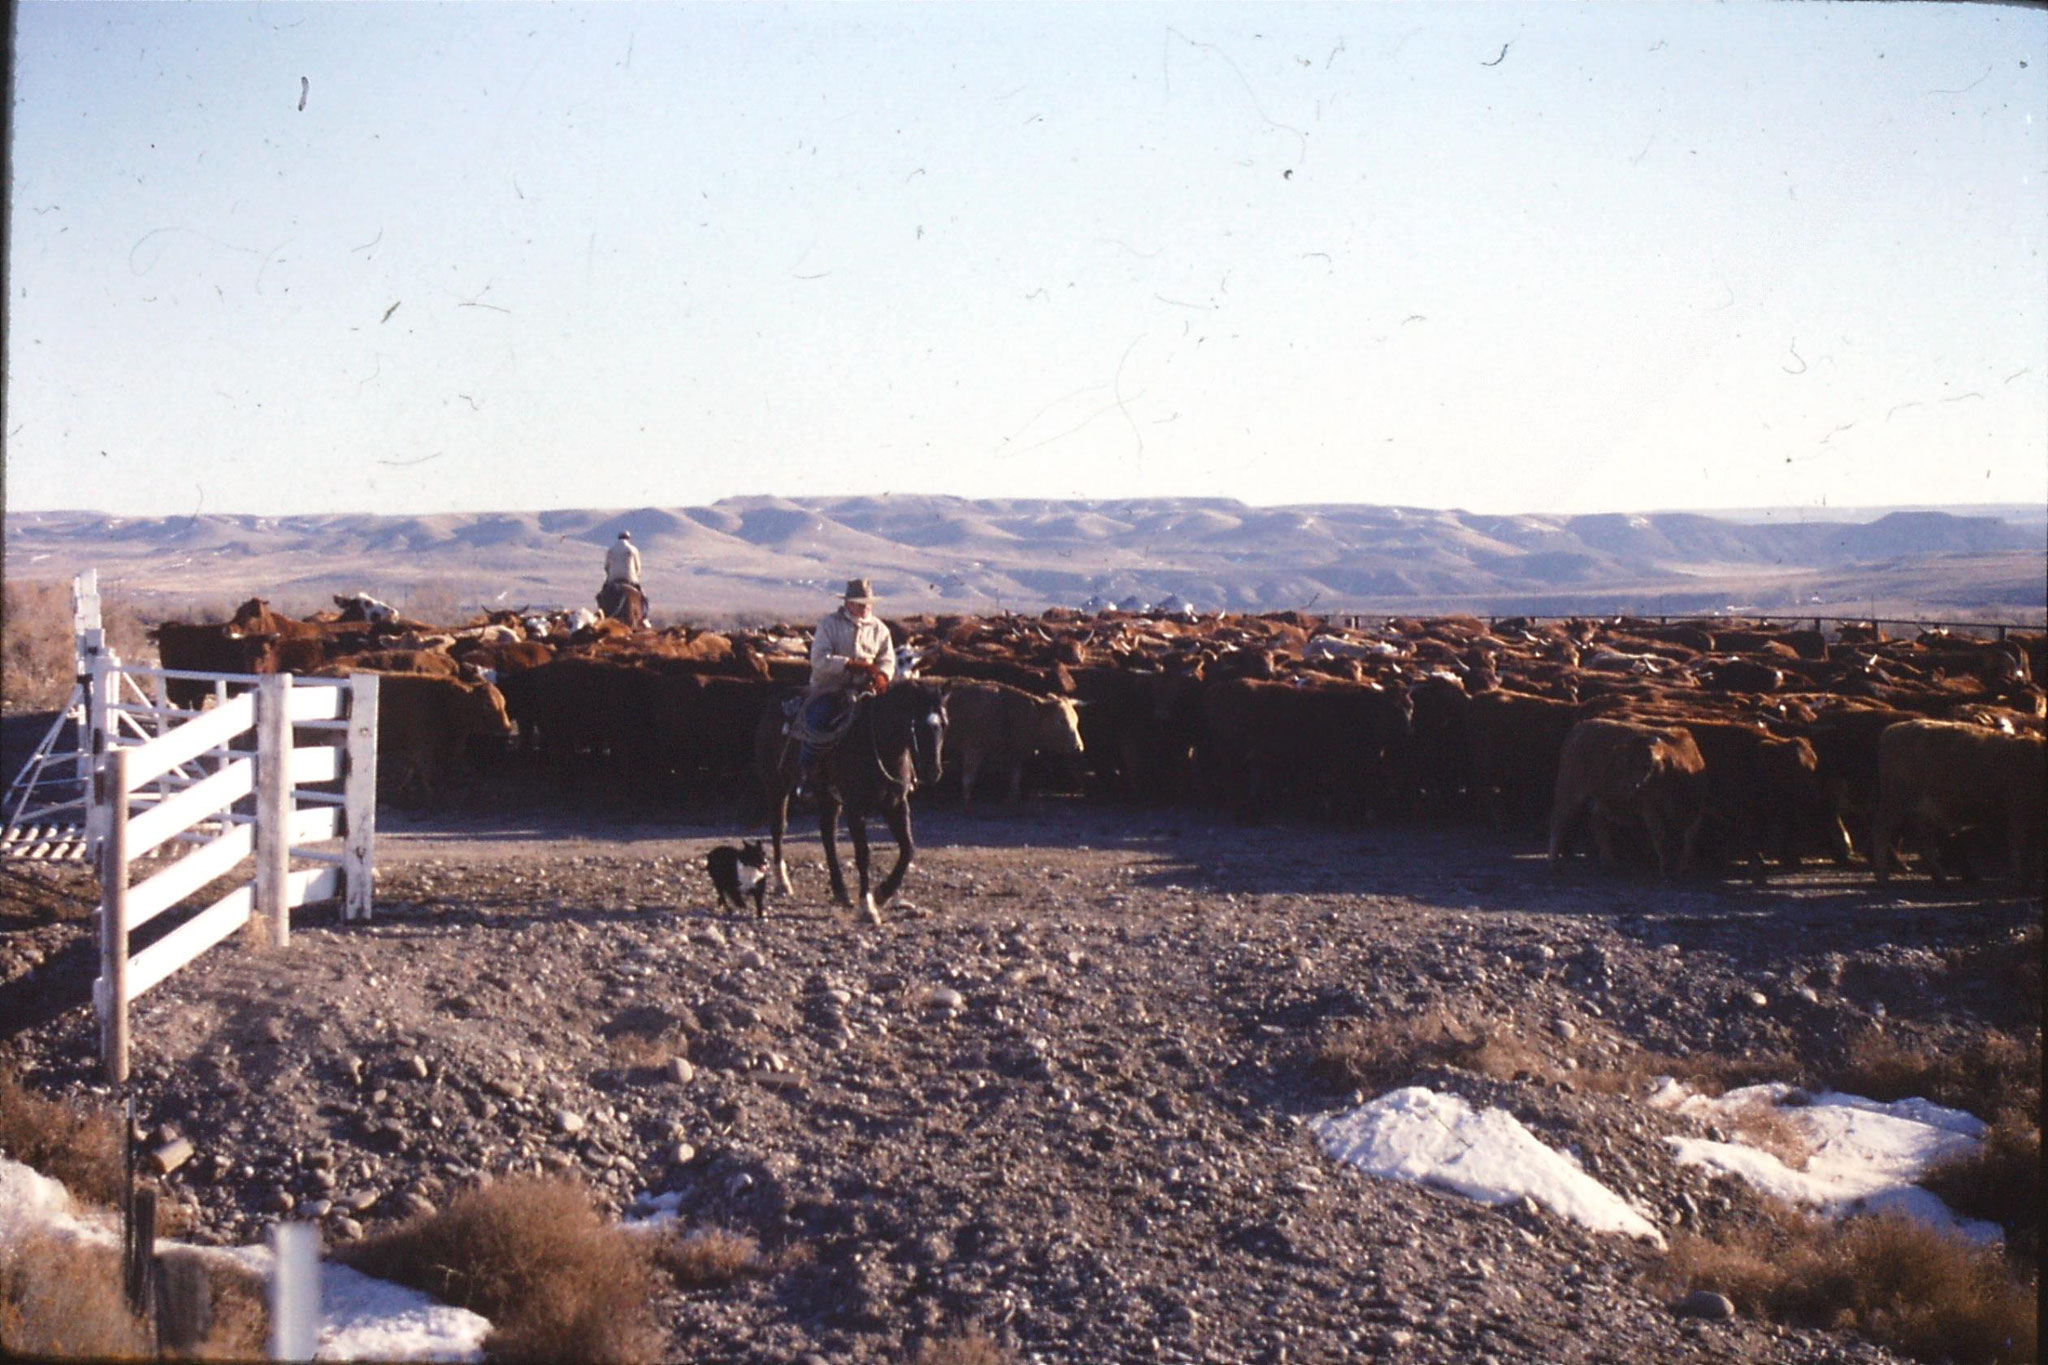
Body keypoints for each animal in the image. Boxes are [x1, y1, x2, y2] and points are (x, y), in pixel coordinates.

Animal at [749, 683, 946, 929]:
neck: (876, 742)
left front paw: (883, 893)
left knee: (828, 835)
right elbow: (863, 855)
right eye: (916, 724)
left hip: (827, 797)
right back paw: (783, 883)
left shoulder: (896, 805)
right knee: (778, 828)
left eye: (943, 725)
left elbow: (908, 849)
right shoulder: (855, 809)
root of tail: (775, 701)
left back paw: (840, 891)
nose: (933, 772)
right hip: (776, 784)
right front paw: (867, 907)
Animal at [942, 679, 1089, 806]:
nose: (1079, 747)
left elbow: (1015, 776)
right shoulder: (973, 748)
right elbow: (969, 778)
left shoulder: (1015, 752)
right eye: (1061, 721)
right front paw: (965, 801)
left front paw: (1012, 799)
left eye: (1076, 720)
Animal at [1548, 720, 1712, 879]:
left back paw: (1609, 865)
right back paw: (1554, 865)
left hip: (1596, 802)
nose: (1628, 785)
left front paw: (1684, 869)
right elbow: (1660, 838)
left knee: (1598, 827)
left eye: (1645, 764)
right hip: (1568, 794)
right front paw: (1665, 870)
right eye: (1626, 762)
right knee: (1558, 825)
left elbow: (1689, 839)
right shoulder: (1650, 809)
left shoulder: (1697, 811)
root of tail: (1577, 729)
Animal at [1875, 720, 2039, 892]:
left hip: (1919, 813)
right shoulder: (2018, 811)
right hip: (1895, 804)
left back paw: (1942, 880)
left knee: (1923, 844)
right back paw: (1883, 879)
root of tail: (1890, 731)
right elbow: (2019, 845)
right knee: (1881, 833)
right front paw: (2020, 882)